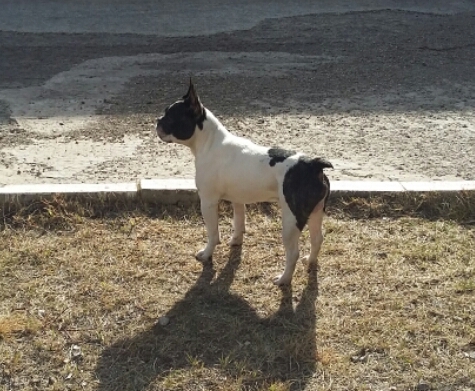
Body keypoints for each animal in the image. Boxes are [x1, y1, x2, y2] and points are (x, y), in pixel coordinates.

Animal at [154, 80, 332, 288]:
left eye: (170, 117)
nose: (157, 120)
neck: (209, 142)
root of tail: (313, 164)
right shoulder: (237, 200)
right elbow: (239, 222)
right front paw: (236, 242)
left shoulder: (208, 202)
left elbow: (213, 233)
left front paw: (206, 254)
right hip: (316, 212)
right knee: (317, 239)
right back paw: (310, 261)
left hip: (291, 219)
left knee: (293, 253)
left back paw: (283, 279)